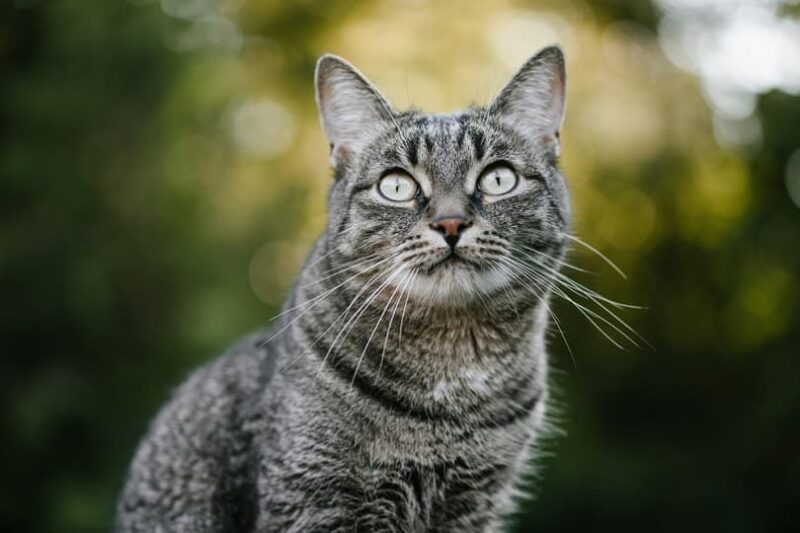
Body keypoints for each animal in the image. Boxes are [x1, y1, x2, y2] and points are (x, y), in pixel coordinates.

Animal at [115, 46, 572, 532]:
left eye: (498, 179)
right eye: (397, 185)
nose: (450, 223)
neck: (453, 381)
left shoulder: (475, 506)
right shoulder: (318, 499)